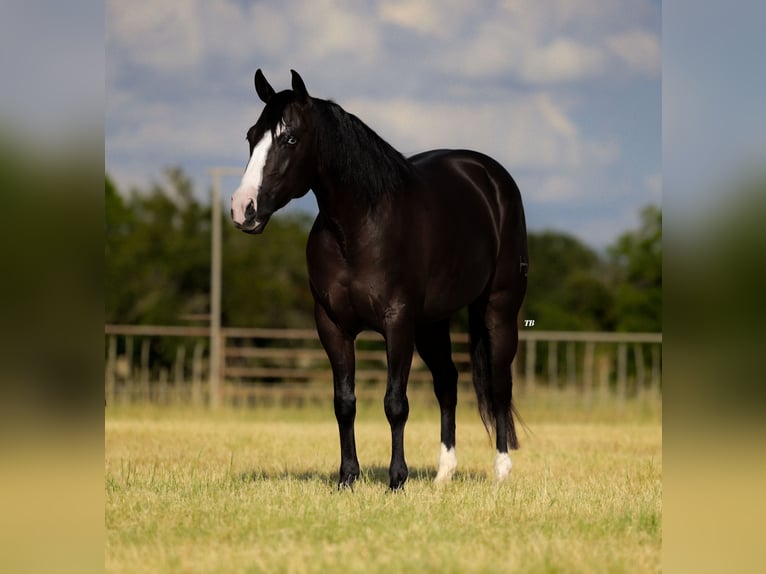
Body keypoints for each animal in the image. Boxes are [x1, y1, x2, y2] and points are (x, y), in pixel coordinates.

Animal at [231, 68, 532, 490]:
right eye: (250, 136)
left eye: (290, 138)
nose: (243, 209)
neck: (358, 226)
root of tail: (491, 178)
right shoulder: (332, 325)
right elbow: (344, 403)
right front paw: (347, 478)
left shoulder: (397, 321)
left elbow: (395, 403)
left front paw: (396, 480)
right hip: (432, 323)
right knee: (448, 383)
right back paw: (443, 474)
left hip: (498, 310)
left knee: (499, 385)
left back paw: (501, 472)